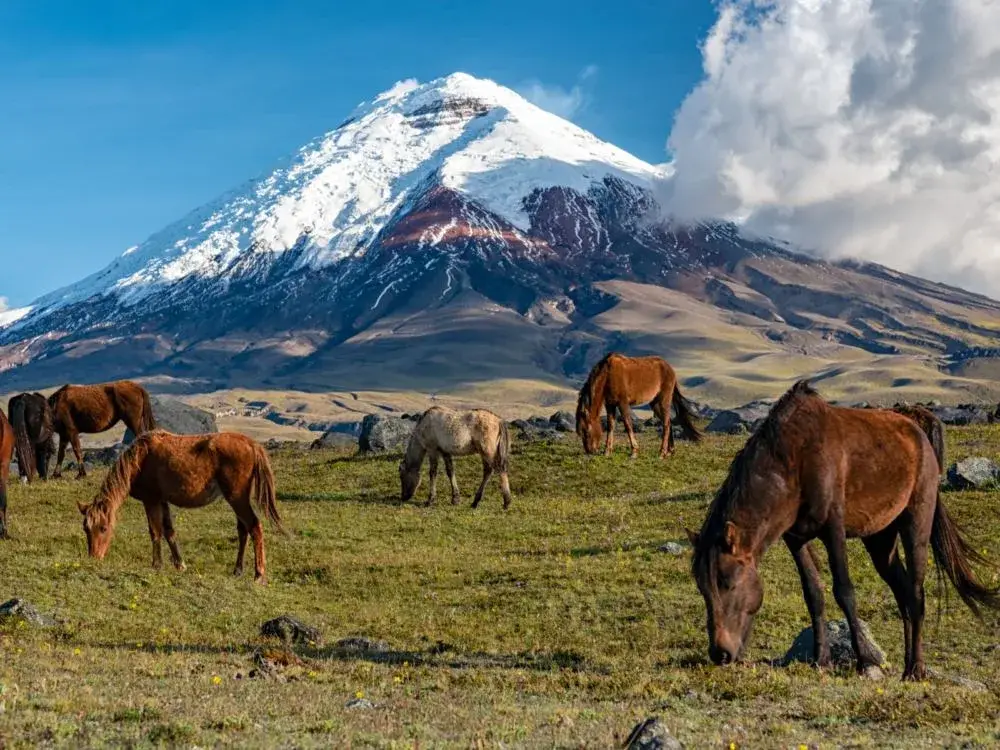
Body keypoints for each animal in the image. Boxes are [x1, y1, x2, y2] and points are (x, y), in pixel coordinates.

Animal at [78, 432, 286, 584]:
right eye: (86, 529)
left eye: (103, 528)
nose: (94, 557)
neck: (140, 459)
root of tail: (252, 444)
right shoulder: (162, 501)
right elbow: (169, 531)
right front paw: (180, 565)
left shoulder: (151, 500)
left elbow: (155, 531)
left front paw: (156, 564)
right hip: (236, 499)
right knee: (243, 530)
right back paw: (237, 570)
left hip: (237, 498)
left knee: (255, 527)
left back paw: (258, 574)